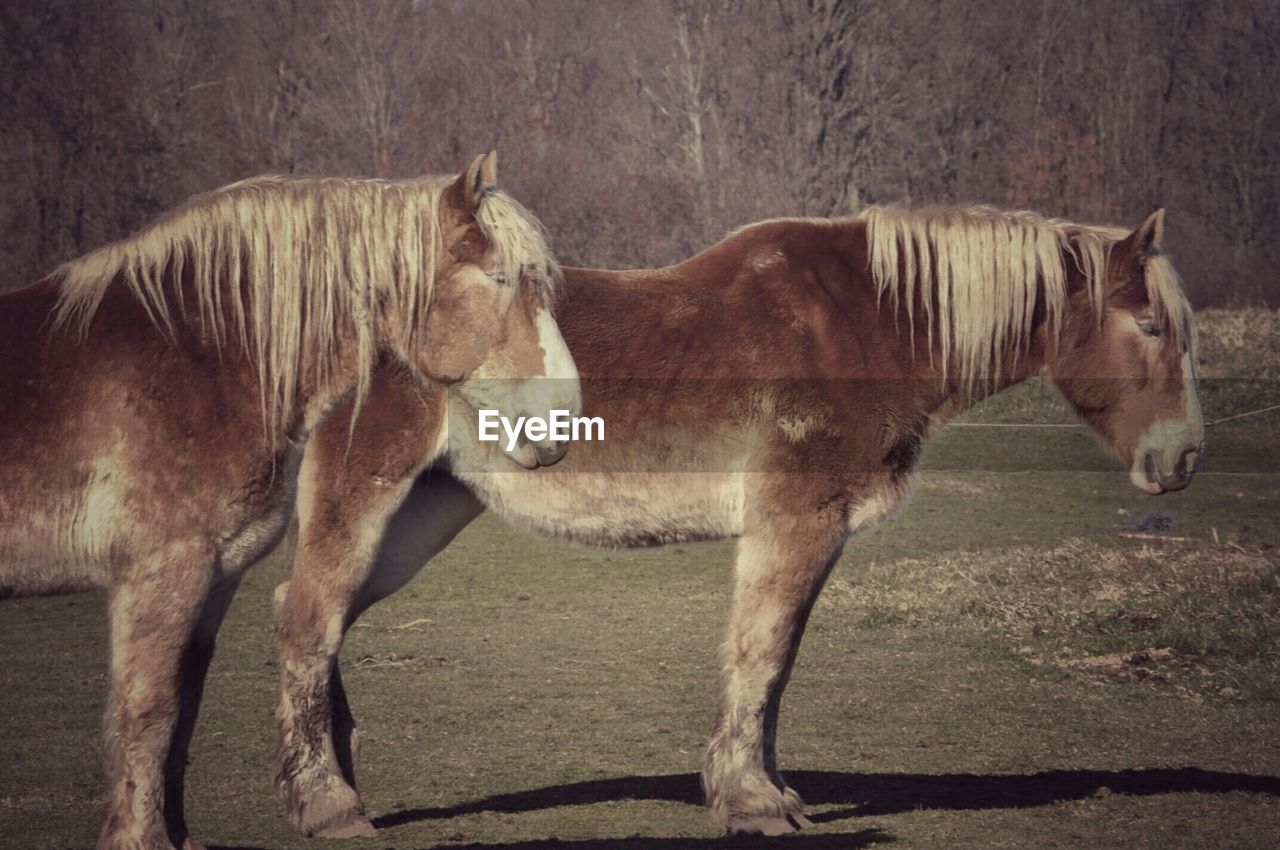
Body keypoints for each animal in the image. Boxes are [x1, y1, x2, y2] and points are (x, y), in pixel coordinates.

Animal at [0, 154, 581, 850]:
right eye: (498, 279)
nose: (564, 419)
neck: (198, 360)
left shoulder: (215, 576)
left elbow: (183, 706)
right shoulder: (158, 572)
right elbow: (147, 710)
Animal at [275, 204, 1203, 834]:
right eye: (1152, 326)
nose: (1185, 459)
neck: (869, 324)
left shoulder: (813, 533)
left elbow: (776, 668)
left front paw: (767, 788)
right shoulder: (795, 523)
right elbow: (762, 654)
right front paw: (752, 801)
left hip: (423, 515)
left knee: (314, 615)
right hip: (369, 491)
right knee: (311, 620)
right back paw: (330, 806)